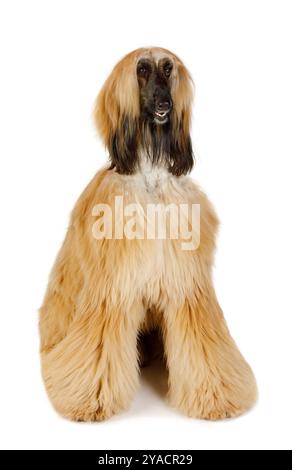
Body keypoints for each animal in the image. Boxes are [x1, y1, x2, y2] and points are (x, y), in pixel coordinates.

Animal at [40, 48, 256, 422]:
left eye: (168, 69)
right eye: (141, 69)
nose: (164, 104)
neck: (150, 179)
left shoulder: (186, 285)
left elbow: (200, 345)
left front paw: (215, 395)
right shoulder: (112, 289)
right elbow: (99, 347)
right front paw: (90, 399)